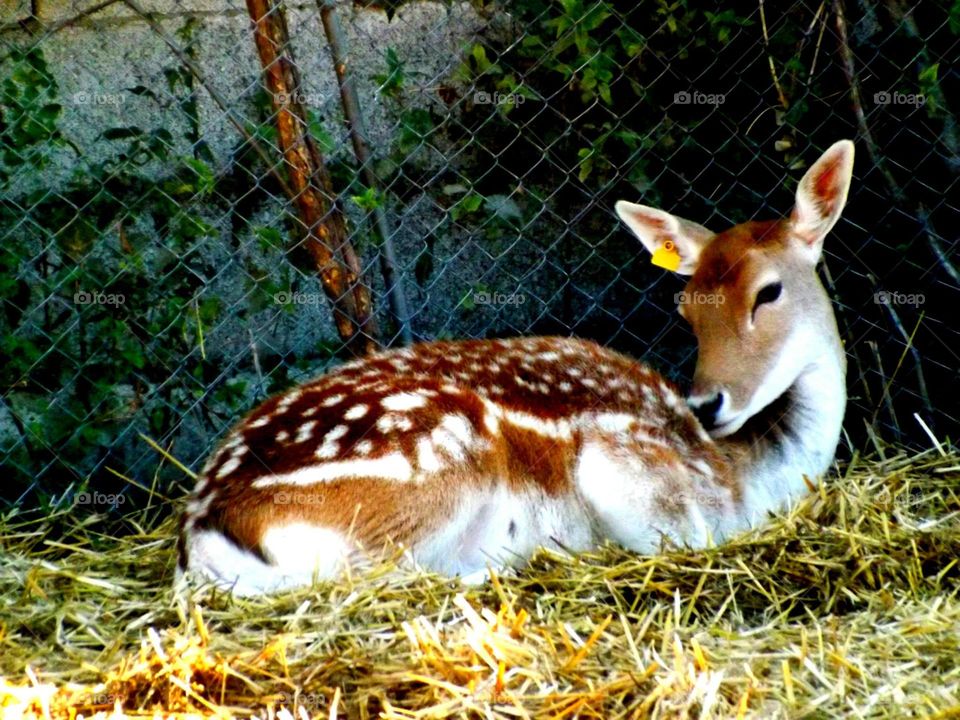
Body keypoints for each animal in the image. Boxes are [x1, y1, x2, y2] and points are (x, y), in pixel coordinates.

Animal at [178, 140, 852, 596]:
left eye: (769, 291)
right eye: (684, 305)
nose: (707, 403)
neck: (751, 478)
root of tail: (203, 530)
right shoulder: (624, 458)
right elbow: (678, 533)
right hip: (434, 462)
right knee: (385, 578)